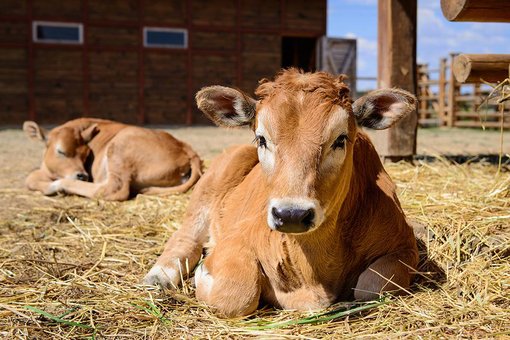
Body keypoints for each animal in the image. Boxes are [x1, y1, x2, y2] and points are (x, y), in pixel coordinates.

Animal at [23, 118, 202, 201]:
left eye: (86, 155)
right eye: (60, 151)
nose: (83, 175)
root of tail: (184, 147)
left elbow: (30, 177)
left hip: (120, 146)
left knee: (112, 190)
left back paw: (59, 187)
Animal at [144, 69, 418, 318]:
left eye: (340, 139)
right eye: (261, 139)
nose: (292, 215)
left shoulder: (404, 246)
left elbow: (372, 287)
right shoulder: (238, 237)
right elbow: (236, 295)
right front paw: (202, 273)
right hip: (208, 186)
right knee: (186, 237)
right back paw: (159, 276)